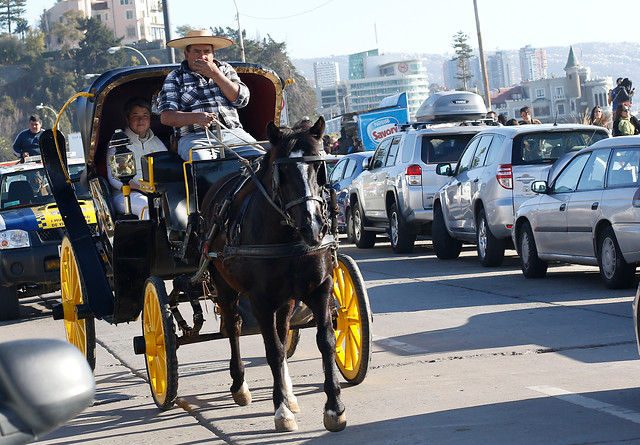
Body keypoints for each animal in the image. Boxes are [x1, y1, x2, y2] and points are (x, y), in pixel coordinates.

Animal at [202, 116, 348, 432]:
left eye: (319, 167)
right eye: (282, 171)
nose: (313, 227)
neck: (288, 234)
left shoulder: (320, 287)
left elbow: (326, 341)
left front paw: (334, 408)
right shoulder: (260, 299)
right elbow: (273, 350)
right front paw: (281, 411)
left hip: (287, 298)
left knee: (283, 330)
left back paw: (290, 393)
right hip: (224, 285)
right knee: (234, 327)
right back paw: (241, 386)